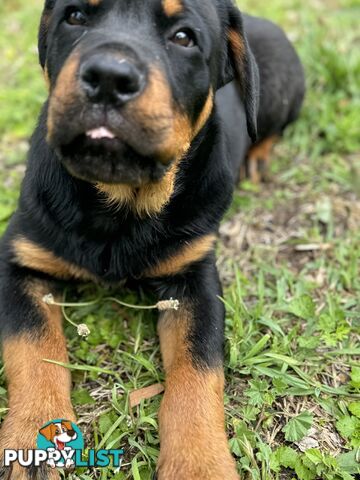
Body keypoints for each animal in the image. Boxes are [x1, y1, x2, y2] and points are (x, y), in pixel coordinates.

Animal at [0, 0, 304, 478]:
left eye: (184, 38)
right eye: (75, 17)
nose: (109, 77)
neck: (120, 205)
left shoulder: (195, 280)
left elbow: (197, 371)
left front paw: (199, 464)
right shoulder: (19, 259)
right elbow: (33, 346)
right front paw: (34, 433)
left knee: (268, 130)